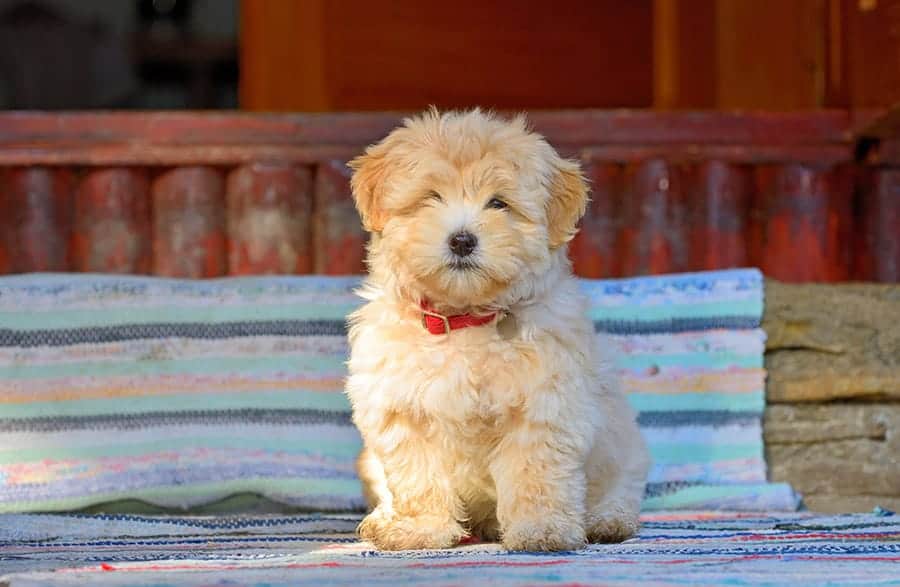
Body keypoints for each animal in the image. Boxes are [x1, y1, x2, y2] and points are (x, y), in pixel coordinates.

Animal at [342, 109, 648, 552]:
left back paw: (607, 521)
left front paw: (542, 530)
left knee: (621, 488)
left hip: (623, 448)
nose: (462, 240)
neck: (463, 320)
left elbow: (536, 475)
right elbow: (417, 476)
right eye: (430, 197)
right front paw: (420, 530)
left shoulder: (543, 406)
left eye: (499, 203)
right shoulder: (402, 409)